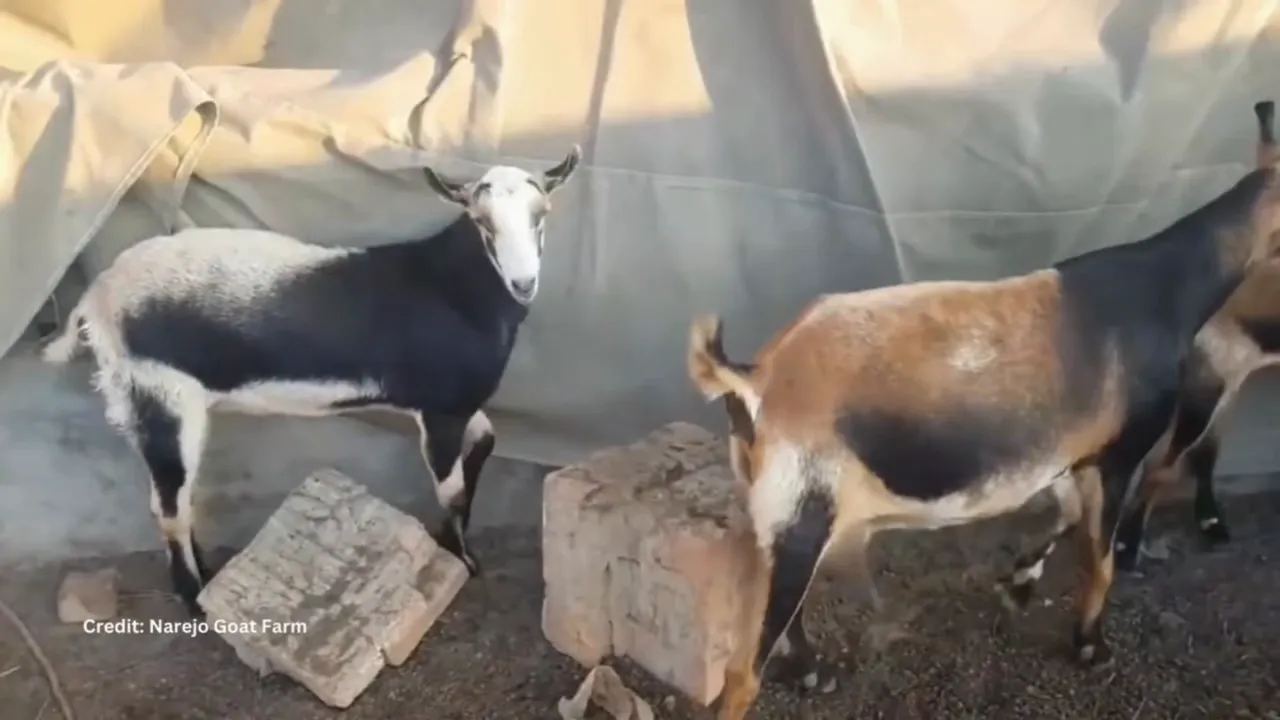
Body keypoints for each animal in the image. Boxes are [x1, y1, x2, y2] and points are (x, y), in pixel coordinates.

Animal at [39, 146, 582, 616]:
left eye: (542, 213)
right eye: (482, 221)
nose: (523, 283)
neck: (452, 290)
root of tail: (96, 297)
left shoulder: (459, 405)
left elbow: (486, 442)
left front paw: (453, 540)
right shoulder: (440, 410)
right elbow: (451, 491)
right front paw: (463, 558)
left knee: (179, 496)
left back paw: (208, 576)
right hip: (159, 399)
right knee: (168, 504)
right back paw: (194, 599)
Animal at [687, 102, 1280, 720]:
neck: (1161, 289)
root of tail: (754, 377)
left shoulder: (1068, 455)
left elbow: (1067, 515)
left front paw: (1019, 583)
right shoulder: (1117, 454)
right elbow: (1100, 559)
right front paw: (1090, 646)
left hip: (782, 517)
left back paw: (812, 674)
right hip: (799, 515)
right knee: (743, 670)